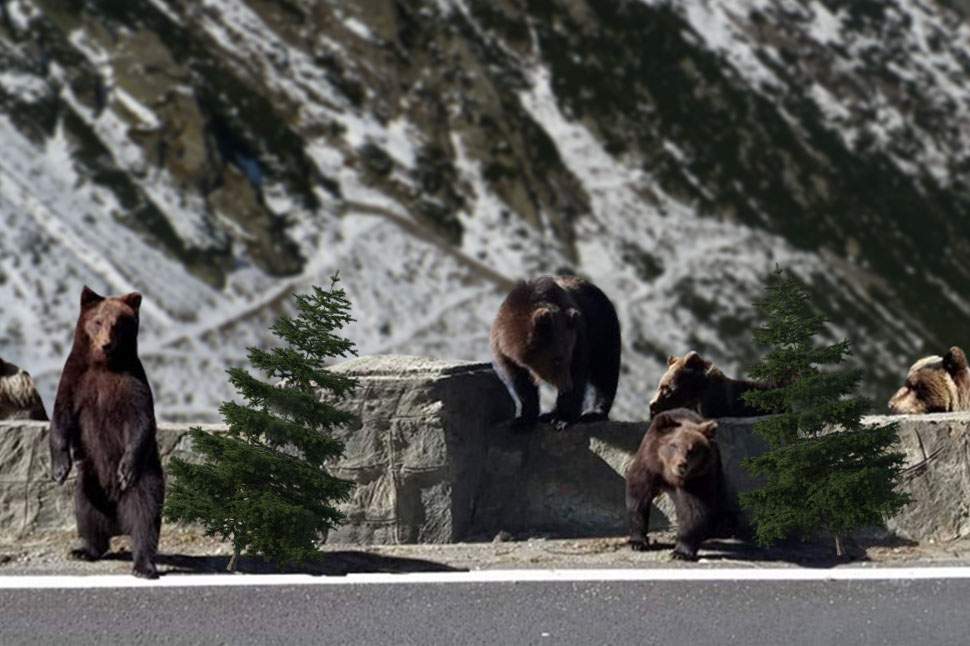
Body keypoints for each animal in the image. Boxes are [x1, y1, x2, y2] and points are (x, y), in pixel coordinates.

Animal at [49, 288, 164, 584]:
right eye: (98, 321)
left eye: (118, 323)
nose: (106, 344)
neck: (103, 366)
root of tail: (117, 520)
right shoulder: (75, 381)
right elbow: (61, 417)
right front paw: (59, 469)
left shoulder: (132, 384)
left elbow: (141, 422)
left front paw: (126, 468)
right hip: (90, 480)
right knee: (87, 513)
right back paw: (84, 549)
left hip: (146, 477)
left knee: (144, 515)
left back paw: (143, 565)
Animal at [492, 276, 620, 432]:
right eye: (557, 359)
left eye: (566, 357)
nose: (566, 386)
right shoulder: (505, 353)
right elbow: (521, 384)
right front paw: (523, 420)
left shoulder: (579, 338)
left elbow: (579, 373)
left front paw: (563, 419)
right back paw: (548, 414)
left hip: (604, 330)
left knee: (605, 370)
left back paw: (593, 412)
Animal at [624, 410, 724, 560]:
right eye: (673, 445)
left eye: (692, 449)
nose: (681, 464)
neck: (669, 476)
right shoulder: (649, 467)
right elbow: (638, 498)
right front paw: (638, 542)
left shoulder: (696, 479)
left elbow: (693, 510)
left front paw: (681, 552)